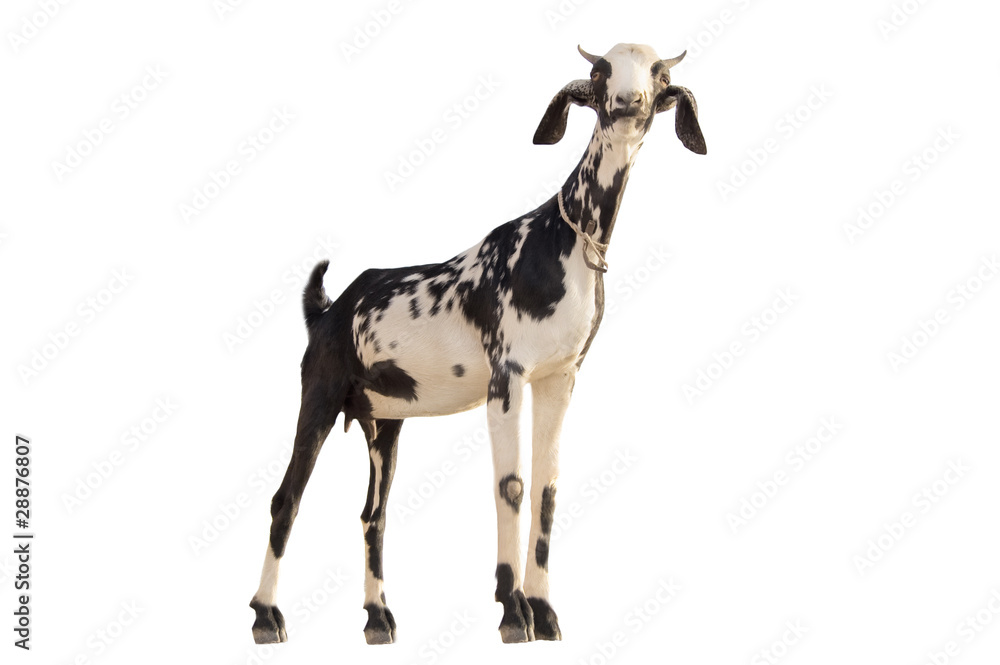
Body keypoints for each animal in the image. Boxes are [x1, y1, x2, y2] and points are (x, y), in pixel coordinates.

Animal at [249, 42, 706, 645]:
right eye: (599, 70)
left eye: (659, 72)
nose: (629, 102)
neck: (562, 243)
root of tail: (327, 312)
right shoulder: (506, 378)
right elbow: (510, 485)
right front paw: (514, 612)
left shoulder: (560, 378)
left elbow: (546, 489)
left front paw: (545, 612)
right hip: (319, 396)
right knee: (287, 498)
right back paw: (266, 615)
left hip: (383, 423)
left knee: (374, 515)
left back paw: (378, 618)